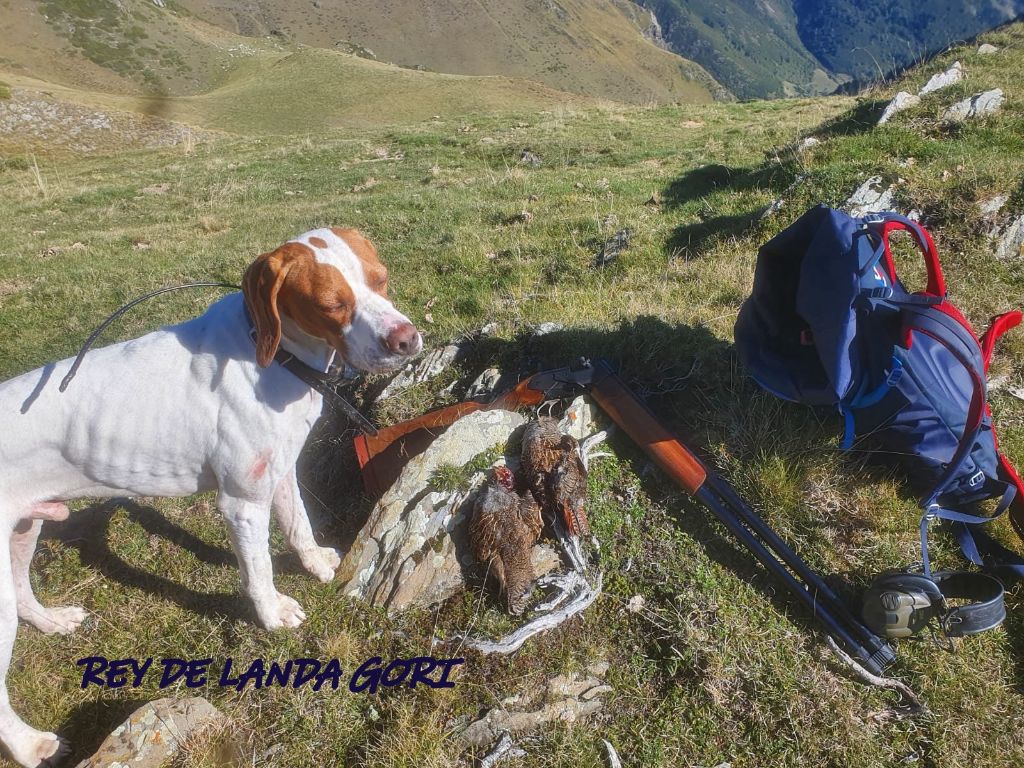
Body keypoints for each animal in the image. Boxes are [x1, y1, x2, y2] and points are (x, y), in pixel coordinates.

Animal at [0, 228, 419, 768]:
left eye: (380, 278)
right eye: (331, 304)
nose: (406, 339)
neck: (272, 355)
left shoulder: (278, 471)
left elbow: (299, 526)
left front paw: (317, 566)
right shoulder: (242, 501)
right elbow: (259, 569)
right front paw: (273, 614)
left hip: (23, 529)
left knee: (22, 590)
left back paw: (51, 621)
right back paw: (32, 745)